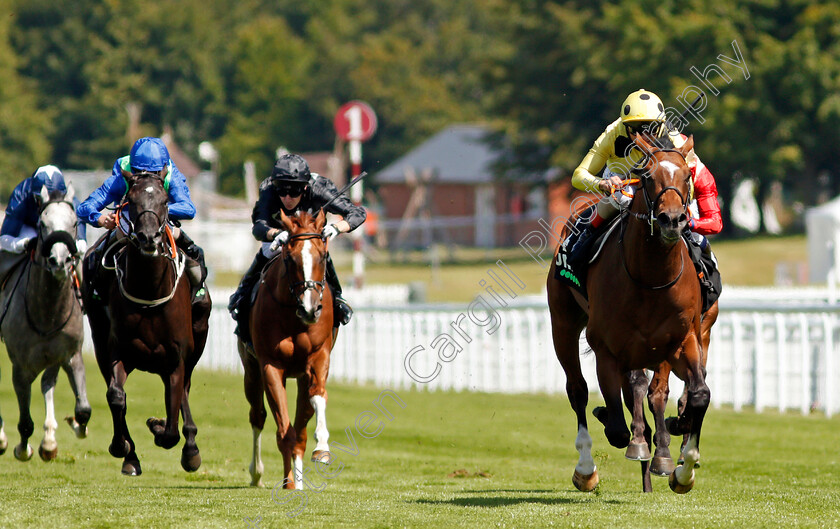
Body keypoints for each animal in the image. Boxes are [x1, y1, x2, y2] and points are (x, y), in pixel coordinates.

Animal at [0, 184, 90, 460]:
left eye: (75, 222)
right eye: (42, 224)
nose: (59, 261)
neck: (48, 312)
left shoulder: (69, 355)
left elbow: (83, 408)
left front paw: (74, 425)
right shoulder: (20, 366)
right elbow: (25, 421)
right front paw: (21, 448)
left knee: (47, 383)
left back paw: (49, 439)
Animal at [83, 172, 212, 474]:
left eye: (165, 201)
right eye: (131, 200)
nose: (149, 237)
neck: (149, 291)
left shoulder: (176, 358)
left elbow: (173, 423)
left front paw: (162, 429)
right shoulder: (118, 351)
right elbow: (116, 397)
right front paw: (123, 447)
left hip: (197, 339)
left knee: (184, 390)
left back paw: (190, 448)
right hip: (99, 340)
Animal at [236, 207, 334, 486]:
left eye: (323, 256)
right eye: (289, 259)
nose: (310, 309)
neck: (293, 315)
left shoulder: (318, 358)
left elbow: (317, 397)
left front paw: (322, 448)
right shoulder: (270, 365)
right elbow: (283, 432)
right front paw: (288, 481)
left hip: (300, 375)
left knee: (300, 428)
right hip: (251, 370)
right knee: (258, 416)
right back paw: (259, 474)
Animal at [548, 134, 712, 492]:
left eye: (687, 176)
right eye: (647, 177)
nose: (672, 220)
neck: (651, 278)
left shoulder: (683, 340)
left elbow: (698, 395)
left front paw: (684, 470)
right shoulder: (606, 347)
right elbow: (617, 428)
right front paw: (632, 437)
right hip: (563, 324)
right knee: (578, 390)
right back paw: (586, 469)